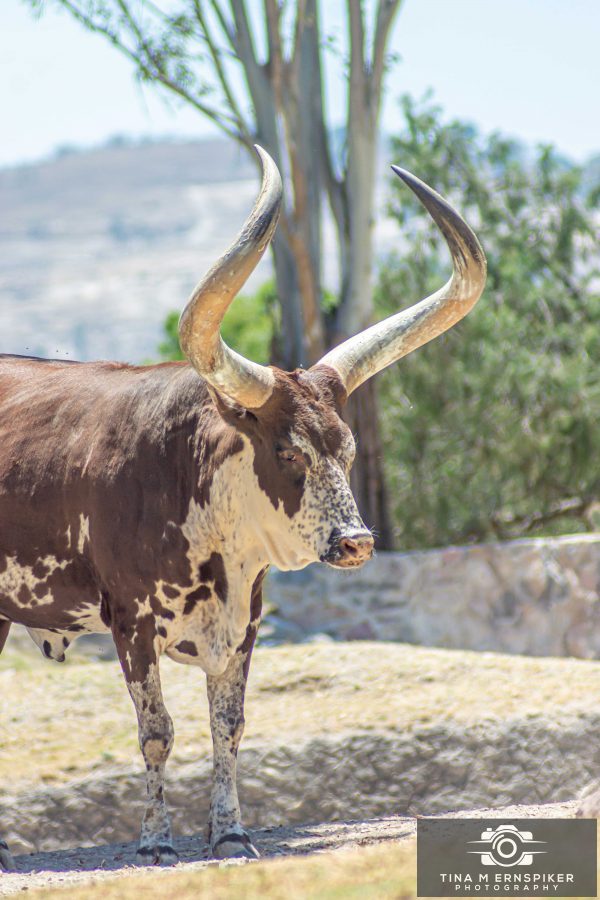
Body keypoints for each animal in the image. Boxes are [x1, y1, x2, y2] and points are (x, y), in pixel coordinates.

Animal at [0, 149, 486, 872]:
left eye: (348, 449)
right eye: (288, 454)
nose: (356, 541)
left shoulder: (245, 621)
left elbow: (226, 726)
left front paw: (230, 832)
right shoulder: (130, 622)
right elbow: (156, 731)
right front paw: (156, 840)